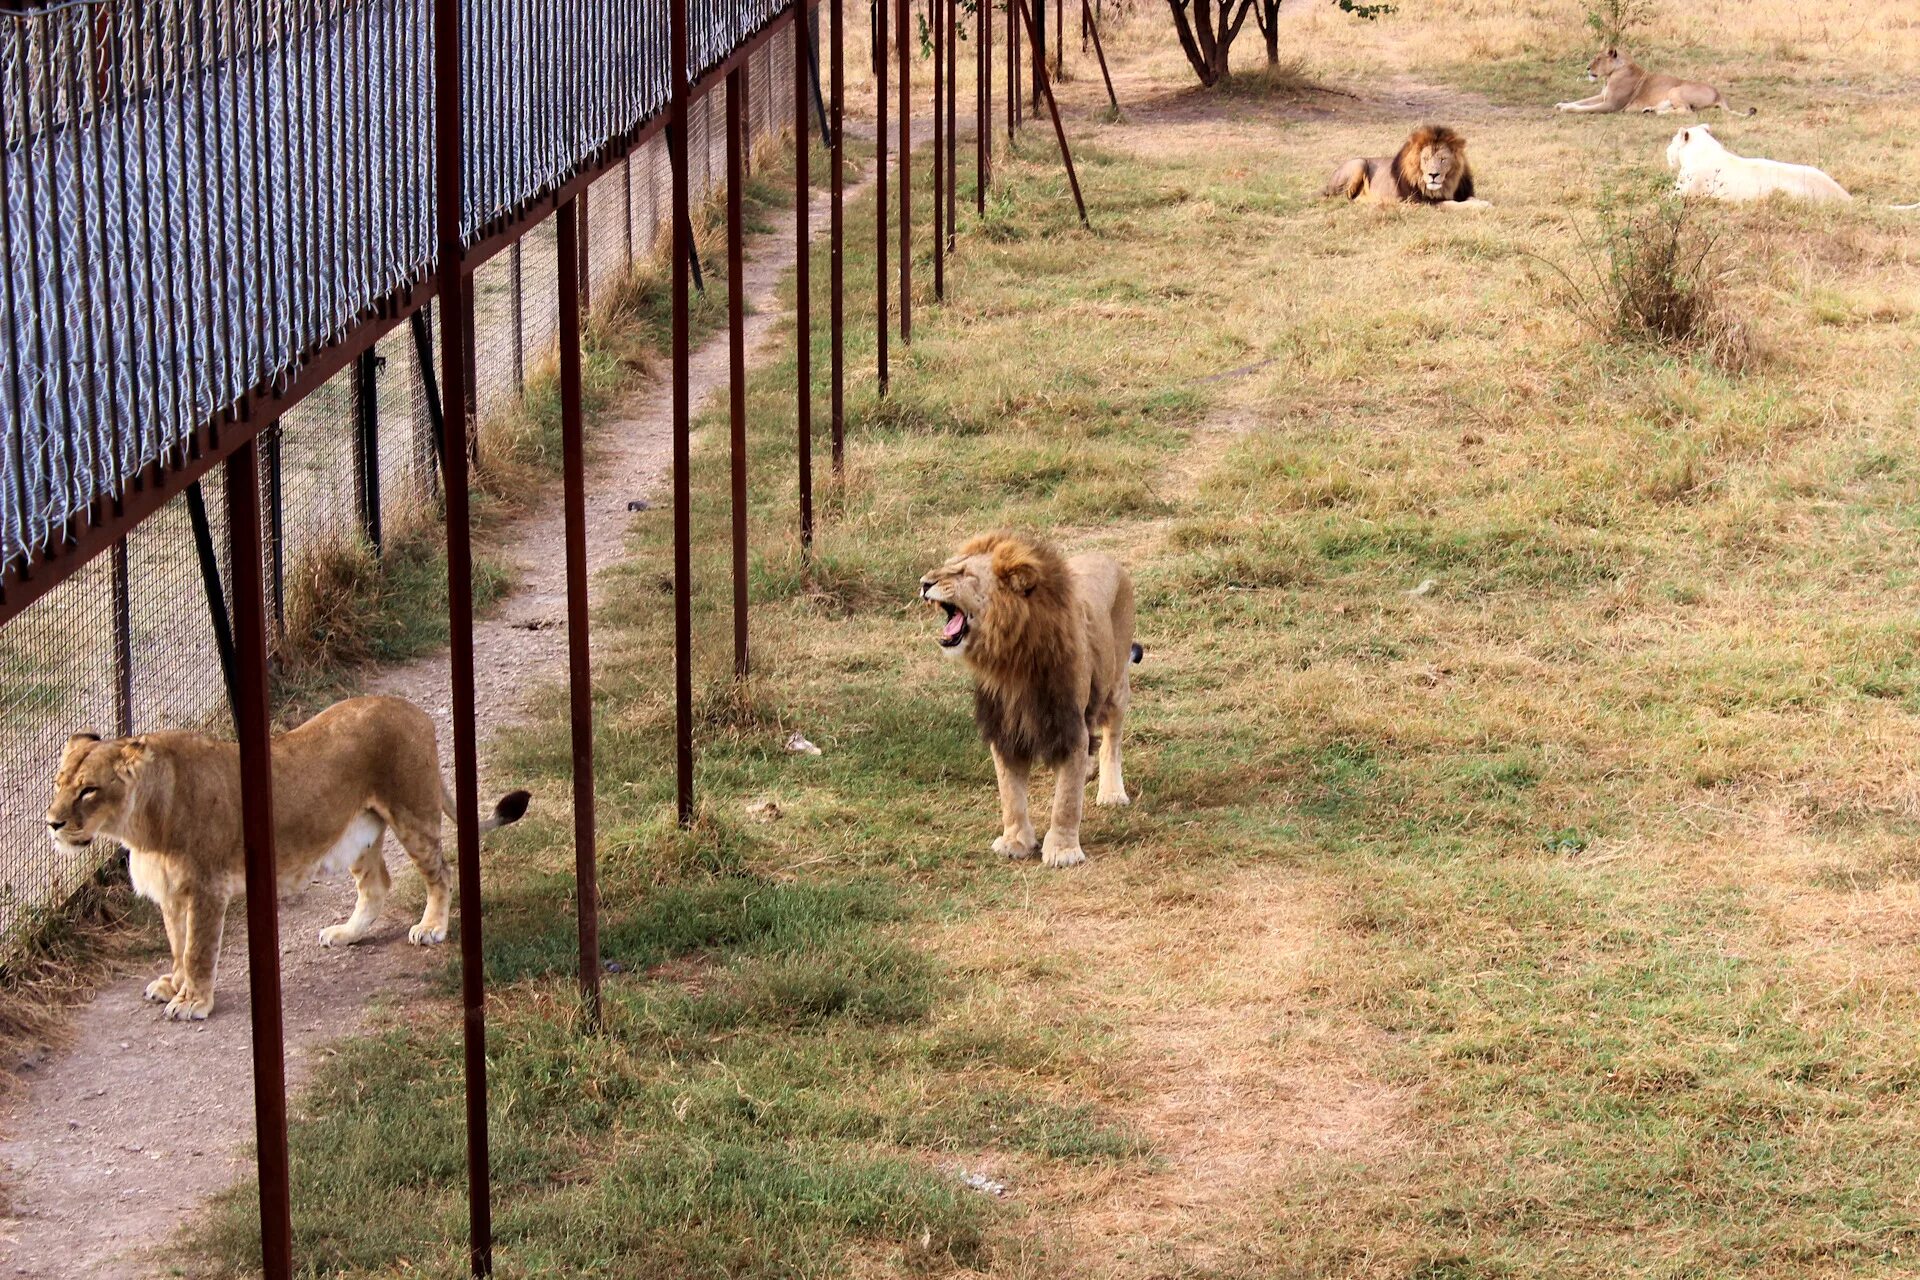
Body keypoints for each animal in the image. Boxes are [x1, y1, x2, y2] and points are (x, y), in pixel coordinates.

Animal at [46, 694, 526, 1028]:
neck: (142, 825)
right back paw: (346, 933)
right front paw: (174, 985)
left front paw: (193, 1002)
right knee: (376, 886)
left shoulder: (206, 887)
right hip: (358, 834)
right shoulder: (172, 892)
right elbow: (178, 944)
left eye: (88, 790)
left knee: (440, 871)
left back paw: (431, 928)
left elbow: (198, 949)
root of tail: (413, 711)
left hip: (413, 811)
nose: (52, 823)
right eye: (58, 782)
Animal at [917, 529, 1136, 871]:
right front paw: (1015, 841)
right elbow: (1011, 795)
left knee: (1111, 740)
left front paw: (1062, 850)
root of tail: (1105, 556)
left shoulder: (1068, 725)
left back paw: (1112, 792)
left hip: (1115, 685)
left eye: (963, 573)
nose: (924, 583)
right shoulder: (1005, 727)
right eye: (947, 566)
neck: (1010, 660)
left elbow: (1066, 800)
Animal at [1320, 124, 1482, 208]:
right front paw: (1481, 206)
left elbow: (1470, 199)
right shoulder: (1423, 202)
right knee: (1341, 199)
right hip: (1359, 163)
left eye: (1443, 159)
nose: (1433, 175)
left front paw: (1482, 203)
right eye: (1425, 159)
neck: (1448, 185)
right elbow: (1454, 205)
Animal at [1559, 49, 1758, 115]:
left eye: (1598, 59)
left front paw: (1568, 109)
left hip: (1675, 90)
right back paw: (1650, 110)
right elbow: (1581, 101)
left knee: (1687, 111)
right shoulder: (1602, 97)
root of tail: (1719, 94)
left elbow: (1585, 108)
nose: (1587, 68)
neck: (1611, 75)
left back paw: (1659, 113)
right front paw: (1562, 104)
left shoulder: (1612, 105)